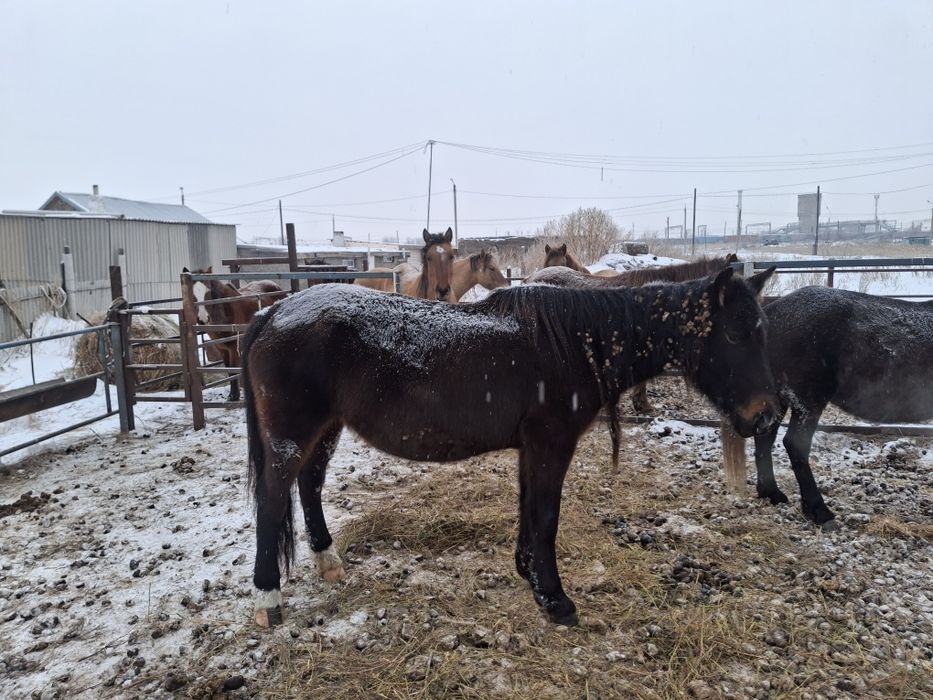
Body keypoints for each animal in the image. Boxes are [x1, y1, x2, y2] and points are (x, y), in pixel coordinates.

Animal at [186, 267, 286, 401]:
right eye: (192, 294)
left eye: (208, 291)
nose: (202, 319)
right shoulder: (222, 349)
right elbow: (229, 370)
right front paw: (233, 394)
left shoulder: (234, 347)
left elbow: (233, 370)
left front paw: (234, 396)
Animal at [722, 286, 933, 528]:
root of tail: (772, 314)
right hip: (808, 399)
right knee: (795, 444)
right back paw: (819, 511)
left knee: (765, 438)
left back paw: (772, 493)